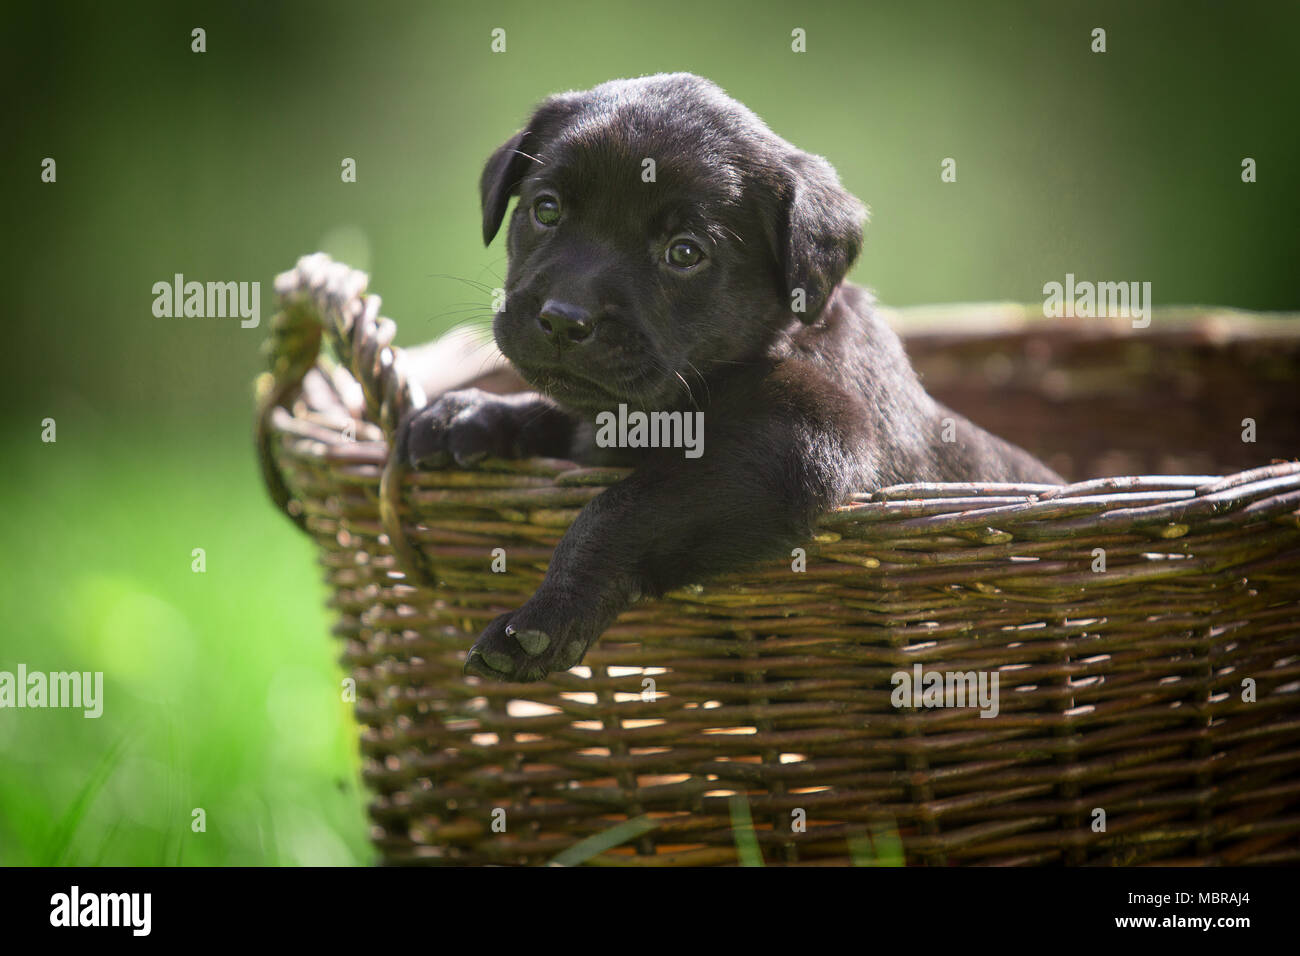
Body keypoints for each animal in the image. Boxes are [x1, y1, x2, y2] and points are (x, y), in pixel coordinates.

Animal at [400, 76, 1060, 686]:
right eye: (546, 209)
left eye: (685, 253)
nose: (564, 319)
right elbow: (557, 417)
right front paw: (466, 413)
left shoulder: (801, 439)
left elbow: (619, 508)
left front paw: (545, 617)